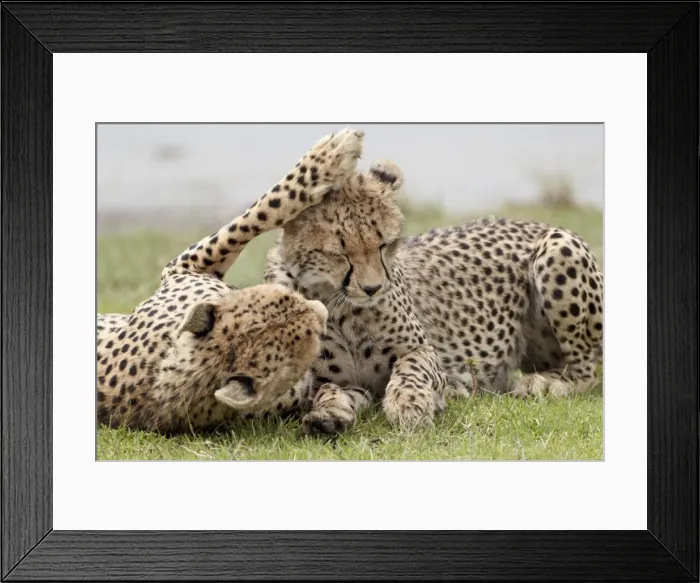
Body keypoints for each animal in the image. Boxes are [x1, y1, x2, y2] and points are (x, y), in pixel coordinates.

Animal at [96, 127, 365, 434]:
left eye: (282, 300)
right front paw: (329, 158)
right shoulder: (182, 266)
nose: (321, 312)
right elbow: (258, 214)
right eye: (308, 340)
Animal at [262, 158, 604, 437]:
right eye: (339, 253)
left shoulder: (424, 351)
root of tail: (532, 221)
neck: (340, 304)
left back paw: (543, 383)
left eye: (385, 244)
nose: (373, 288)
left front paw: (411, 404)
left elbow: (411, 369)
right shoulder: (336, 380)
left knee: (586, 369)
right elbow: (330, 391)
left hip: (558, 246)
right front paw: (328, 415)